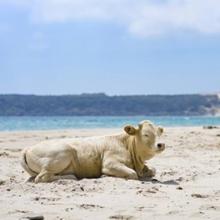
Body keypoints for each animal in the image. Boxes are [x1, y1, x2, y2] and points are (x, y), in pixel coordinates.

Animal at [21, 119, 165, 183]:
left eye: (159, 133)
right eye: (146, 134)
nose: (161, 144)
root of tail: (28, 148)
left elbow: (152, 170)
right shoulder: (110, 163)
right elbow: (132, 174)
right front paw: (105, 175)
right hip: (63, 153)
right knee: (41, 177)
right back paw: (72, 176)